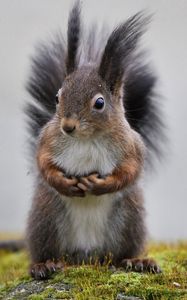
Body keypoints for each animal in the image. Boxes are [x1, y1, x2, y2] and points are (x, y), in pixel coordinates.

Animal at [1, 1, 164, 280]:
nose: (67, 126)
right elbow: (43, 163)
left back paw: (136, 261)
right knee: (46, 250)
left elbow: (130, 171)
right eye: (57, 97)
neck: (87, 138)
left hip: (130, 218)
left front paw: (101, 185)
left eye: (99, 103)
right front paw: (63, 182)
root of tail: (87, 256)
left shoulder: (131, 146)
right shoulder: (48, 140)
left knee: (121, 255)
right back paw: (43, 265)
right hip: (46, 218)